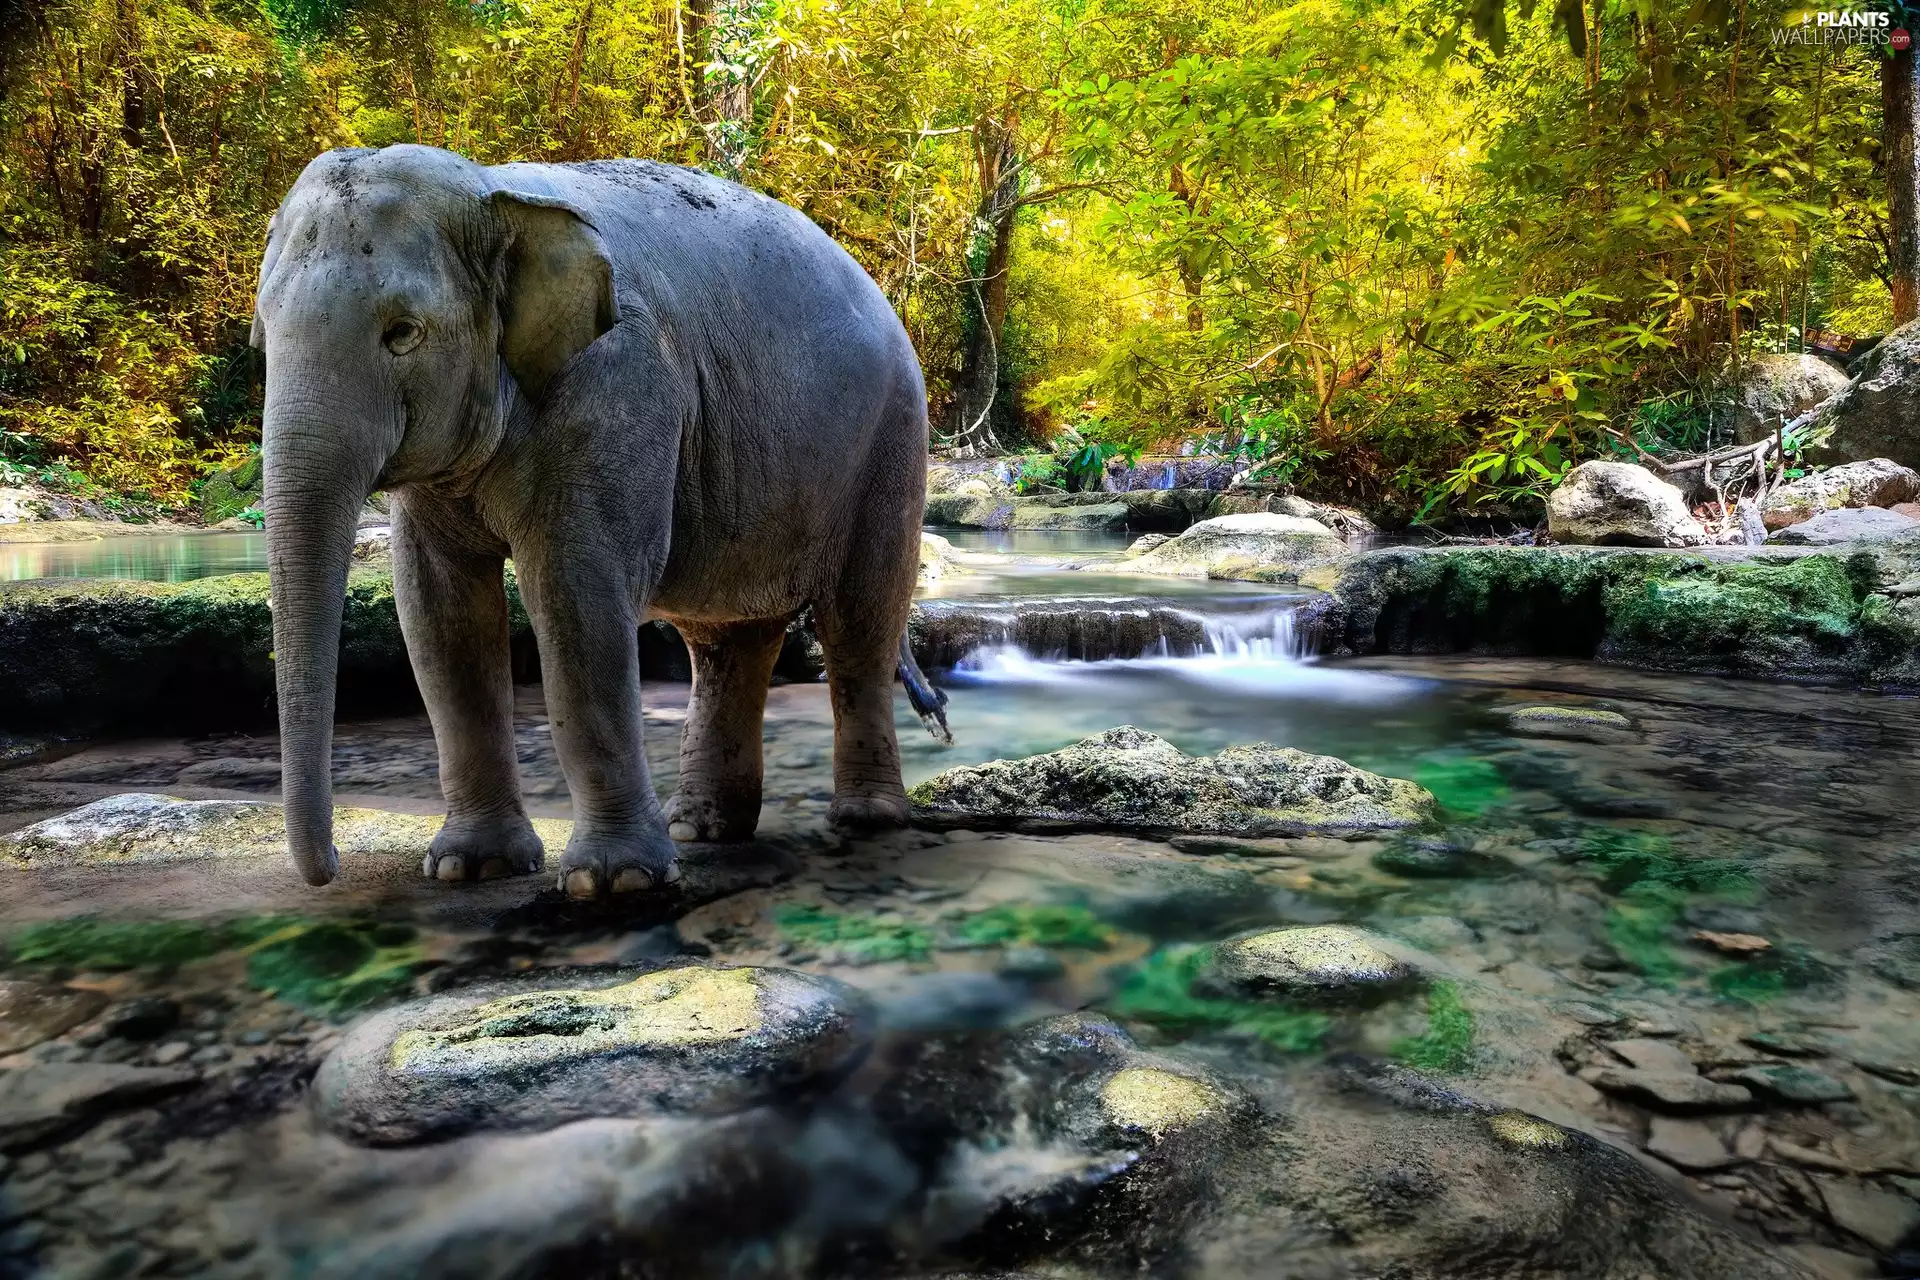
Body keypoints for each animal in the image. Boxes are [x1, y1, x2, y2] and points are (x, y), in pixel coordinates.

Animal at [251, 143, 947, 897]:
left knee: (858, 622)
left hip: (892, 443)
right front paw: (470, 868)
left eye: (402, 333)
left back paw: (865, 820)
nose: (328, 870)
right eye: (264, 335)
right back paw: (701, 829)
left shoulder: (618, 387)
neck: (494, 192)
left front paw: (614, 883)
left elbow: (576, 594)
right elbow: (440, 616)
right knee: (726, 641)